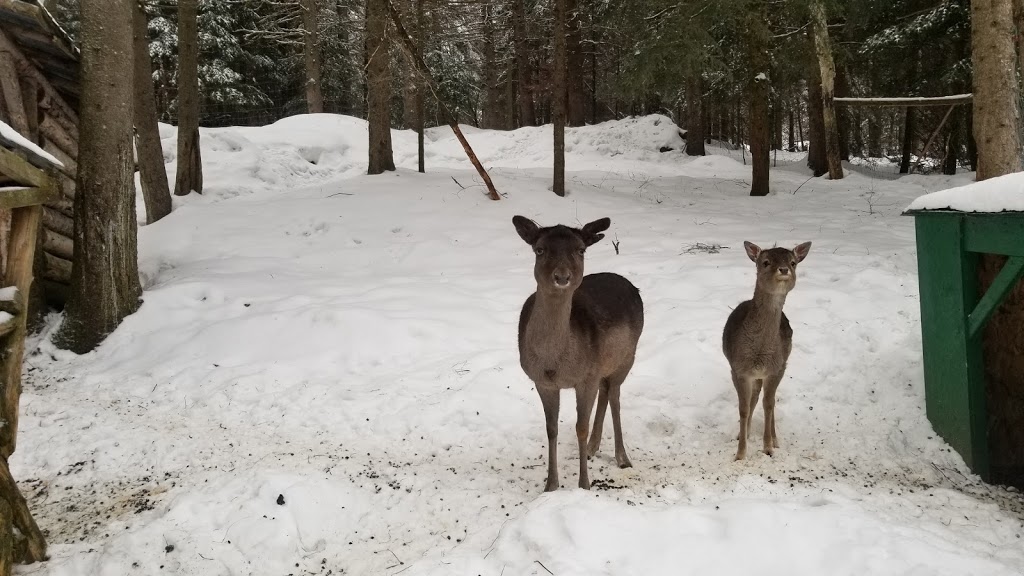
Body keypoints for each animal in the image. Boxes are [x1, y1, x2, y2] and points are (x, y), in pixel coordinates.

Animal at [516, 215, 643, 487]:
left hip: (627, 357)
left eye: (581, 250)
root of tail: (632, 286)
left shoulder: (586, 377)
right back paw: (593, 447)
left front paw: (583, 484)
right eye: (539, 249)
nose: (562, 277)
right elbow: (551, 428)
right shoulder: (542, 381)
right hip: (604, 364)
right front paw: (551, 485)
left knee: (614, 395)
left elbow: (580, 428)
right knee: (606, 391)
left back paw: (622, 457)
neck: (554, 362)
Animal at [724, 239, 811, 459]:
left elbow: (769, 404)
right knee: (755, 398)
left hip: (783, 364)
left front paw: (768, 447)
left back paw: (775, 439)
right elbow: (744, 408)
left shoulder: (776, 368)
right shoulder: (738, 369)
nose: (784, 269)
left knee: (768, 400)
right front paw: (740, 454)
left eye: (793, 262)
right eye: (765, 262)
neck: (759, 352)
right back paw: (744, 433)